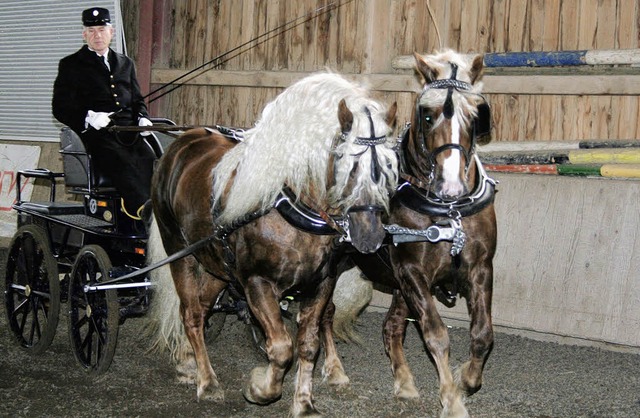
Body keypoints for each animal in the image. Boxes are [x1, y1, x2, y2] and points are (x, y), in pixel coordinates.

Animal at [146, 73, 398, 416]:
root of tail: (181, 143)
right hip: (179, 253)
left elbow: (308, 345)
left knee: (202, 305)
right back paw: (206, 381)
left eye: (389, 167)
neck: (290, 207)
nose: (370, 237)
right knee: (191, 313)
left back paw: (189, 363)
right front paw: (259, 388)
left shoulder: (321, 283)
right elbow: (280, 348)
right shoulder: (257, 283)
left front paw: (303, 402)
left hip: (217, 266)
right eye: (348, 163)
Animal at [328, 49, 498, 418]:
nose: (451, 187)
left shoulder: (480, 267)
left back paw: (404, 384)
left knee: (391, 326)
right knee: (322, 314)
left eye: (476, 113)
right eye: (428, 115)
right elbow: (435, 334)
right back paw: (334, 371)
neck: (448, 210)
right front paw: (451, 400)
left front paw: (466, 379)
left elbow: (482, 333)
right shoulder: (412, 271)